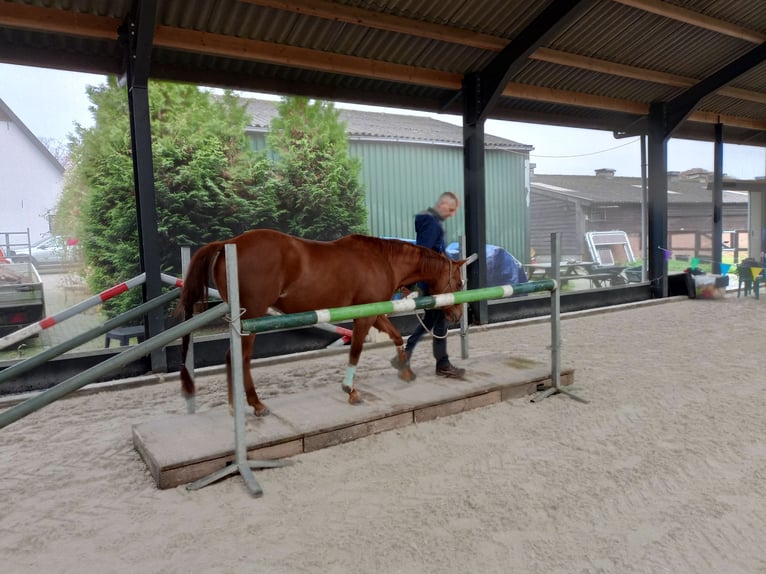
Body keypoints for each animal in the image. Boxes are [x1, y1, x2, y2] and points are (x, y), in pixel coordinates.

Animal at [180, 231, 468, 418]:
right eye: (459, 282)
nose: (456, 315)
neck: (382, 259)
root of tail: (229, 243)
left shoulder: (375, 313)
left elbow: (397, 336)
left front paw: (404, 369)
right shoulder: (364, 316)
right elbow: (355, 352)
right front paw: (351, 390)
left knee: (236, 358)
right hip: (251, 318)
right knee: (239, 357)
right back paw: (253, 404)